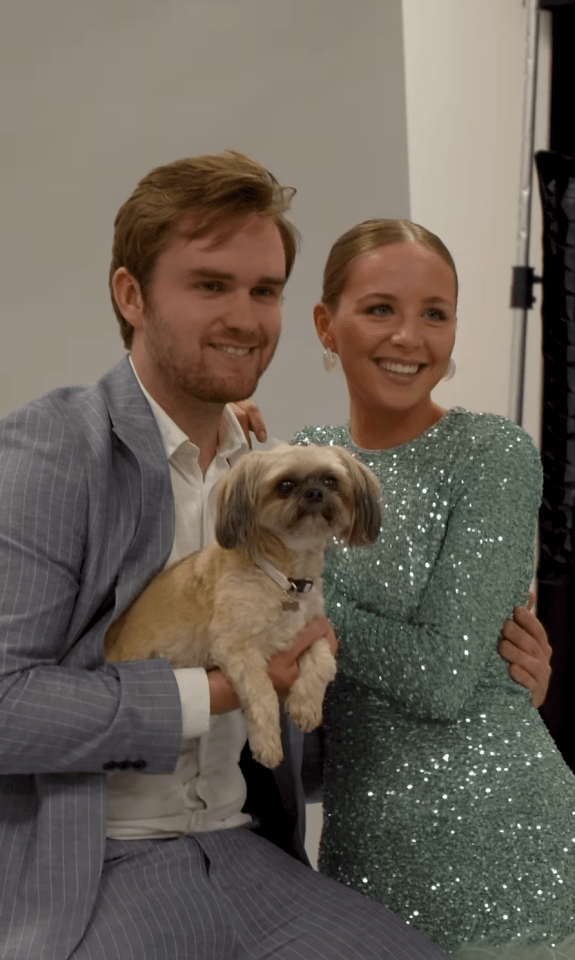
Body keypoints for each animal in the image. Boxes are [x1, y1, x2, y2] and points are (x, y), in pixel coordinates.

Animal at [104, 442, 382, 764]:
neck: (284, 579)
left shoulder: (312, 628)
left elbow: (323, 661)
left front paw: (306, 705)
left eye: (330, 480)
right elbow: (263, 693)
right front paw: (268, 743)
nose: (314, 493)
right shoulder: (234, 648)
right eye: (285, 485)